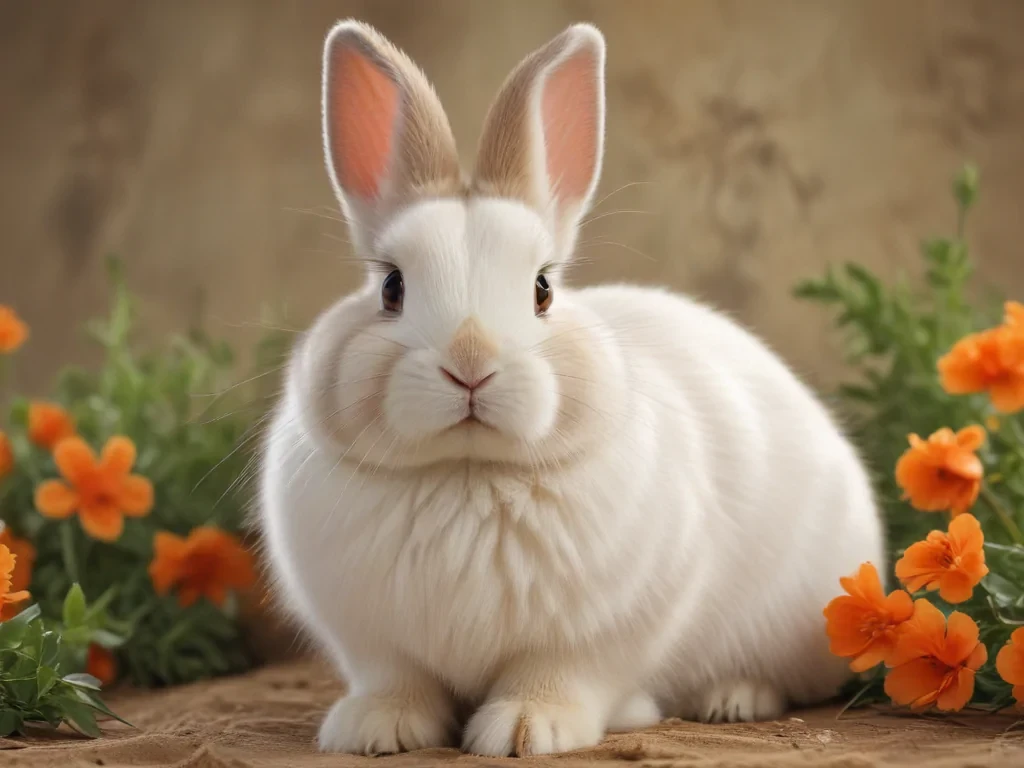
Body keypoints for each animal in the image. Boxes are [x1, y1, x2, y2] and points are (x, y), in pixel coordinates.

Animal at [258, 18, 885, 758]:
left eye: (542, 289)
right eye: (391, 287)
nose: (471, 362)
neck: (466, 472)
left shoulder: (604, 631)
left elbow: (558, 675)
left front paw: (527, 730)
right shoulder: (374, 642)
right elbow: (397, 680)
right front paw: (377, 730)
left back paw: (732, 699)